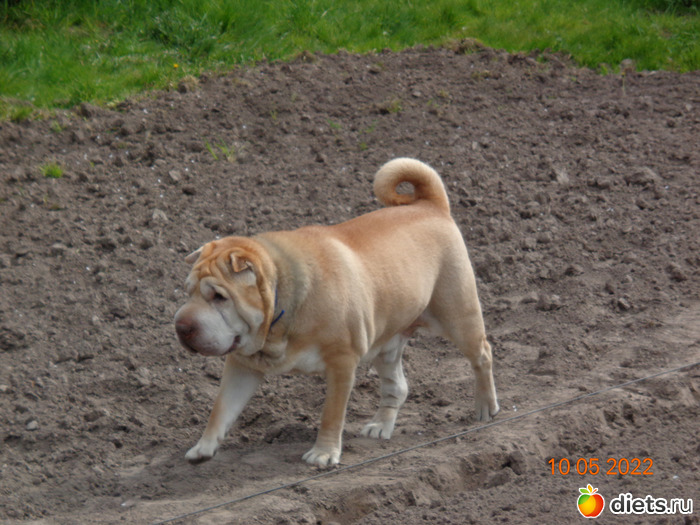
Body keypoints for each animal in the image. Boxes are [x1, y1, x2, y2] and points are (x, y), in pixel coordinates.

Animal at [174, 158, 499, 467]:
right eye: (188, 291)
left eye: (219, 297)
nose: (181, 326)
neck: (279, 307)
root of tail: (431, 205)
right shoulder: (242, 364)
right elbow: (221, 408)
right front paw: (202, 448)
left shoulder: (342, 361)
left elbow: (331, 414)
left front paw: (324, 453)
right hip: (387, 341)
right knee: (397, 386)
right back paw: (381, 426)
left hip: (458, 315)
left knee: (482, 355)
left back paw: (486, 407)